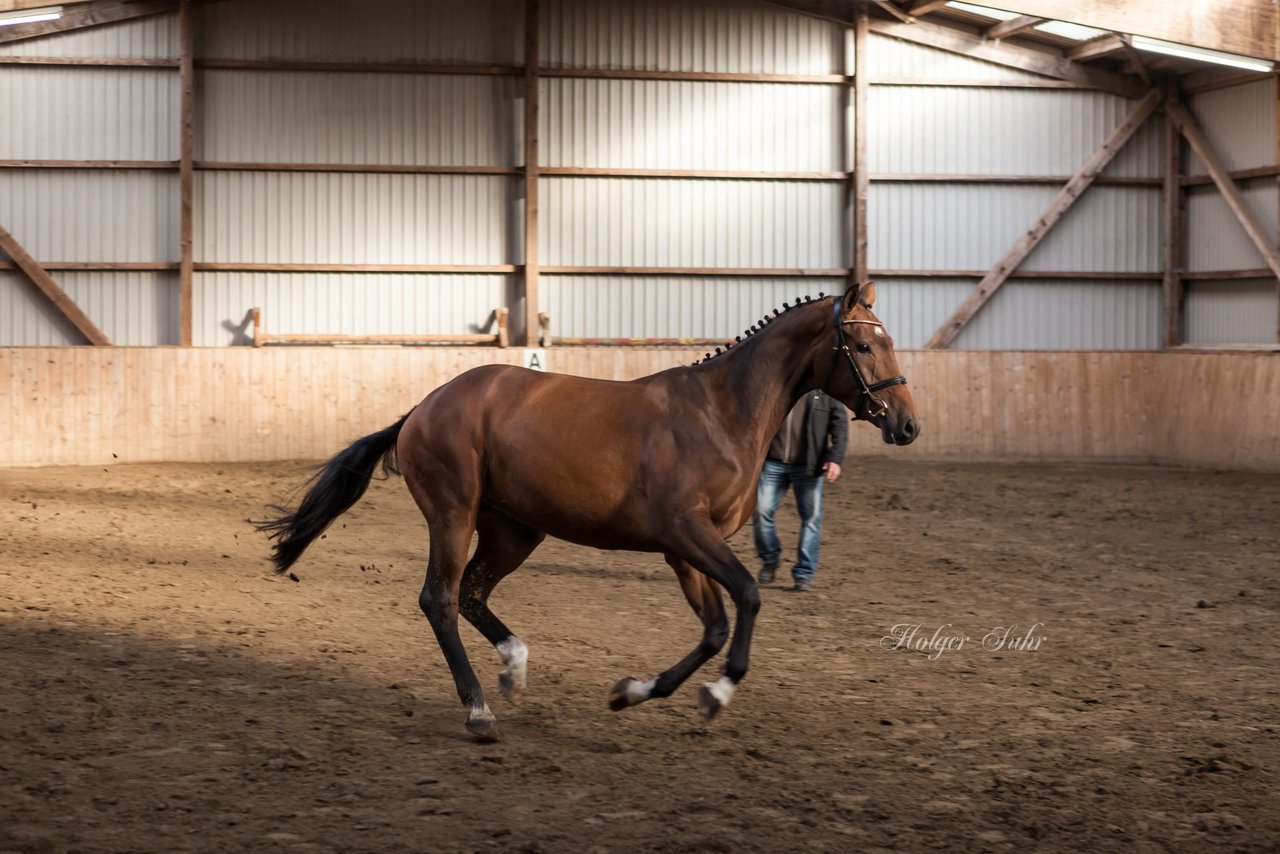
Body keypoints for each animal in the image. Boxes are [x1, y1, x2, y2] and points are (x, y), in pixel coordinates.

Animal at [257, 281, 921, 742]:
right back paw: (480, 711)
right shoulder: (687, 534)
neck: (720, 413)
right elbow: (749, 599)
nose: (908, 426)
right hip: (454, 514)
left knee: (472, 593)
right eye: (864, 344)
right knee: (440, 600)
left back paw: (513, 668)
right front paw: (717, 695)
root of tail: (422, 408)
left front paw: (633, 692)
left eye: (890, 341)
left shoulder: (685, 552)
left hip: (516, 530)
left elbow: (712, 628)